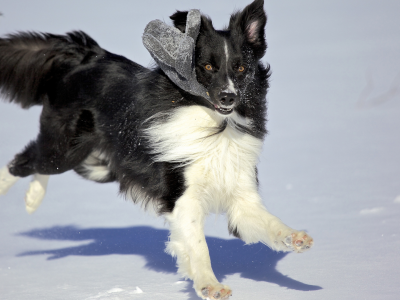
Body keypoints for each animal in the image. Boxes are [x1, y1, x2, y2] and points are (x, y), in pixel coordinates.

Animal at [0, 1, 312, 298]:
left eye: (241, 68)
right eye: (207, 67)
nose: (228, 96)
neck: (217, 126)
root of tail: (87, 55)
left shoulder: (241, 197)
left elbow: (270, 223)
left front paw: (296, 239)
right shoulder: (183, 197)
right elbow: (199, 246)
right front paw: (210, 286)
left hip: (99, 163)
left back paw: (32, 198)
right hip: (66, 149)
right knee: (25, 160)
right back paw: (15, 191)